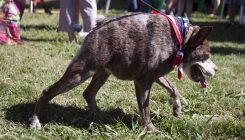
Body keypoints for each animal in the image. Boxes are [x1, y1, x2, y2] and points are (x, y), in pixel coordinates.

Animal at [29, 12, 218, 131]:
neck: (182, 38)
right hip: (81, 73)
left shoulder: (155, 76)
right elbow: (145, 109)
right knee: (48, 91)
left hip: (102, 73)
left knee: (88, 93)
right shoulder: (143, 81)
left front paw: (177, 109)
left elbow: (173, 88)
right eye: (207, 56)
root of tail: (98, 26)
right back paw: (34, 121)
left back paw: (100, 116)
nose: (217, 69)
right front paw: (151, 129)